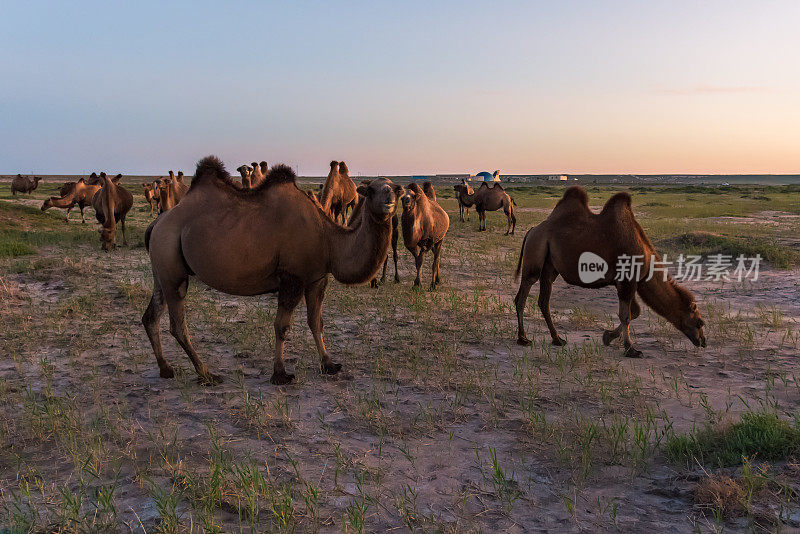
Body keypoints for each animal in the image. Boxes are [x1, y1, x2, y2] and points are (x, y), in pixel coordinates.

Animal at [142, 155, 398, 386]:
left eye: (396, 188)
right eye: (372, 189)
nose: (390, 199)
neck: (328, 239)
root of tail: (157, 223)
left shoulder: (316, 278)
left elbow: (316, 321)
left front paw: (329, 364)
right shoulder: (292, 278)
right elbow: (281, 326)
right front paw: (280, 374)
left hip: (161, 269)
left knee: (151, 315)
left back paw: (166, 369)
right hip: (172, 267)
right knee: (177, 325)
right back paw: (207, 374)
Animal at [512, 186, 708, 358]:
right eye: (700, 322)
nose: (703, 342)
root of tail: (532, 230)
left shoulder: (628, 282)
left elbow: (635, 312)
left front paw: (608, 337)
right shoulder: (627, 280)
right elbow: (626, 316)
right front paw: (631, 349)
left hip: (550, 267)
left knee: (543, 300)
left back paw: (557, 339)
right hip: (535, 253)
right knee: (523, 294)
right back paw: (523, 338)